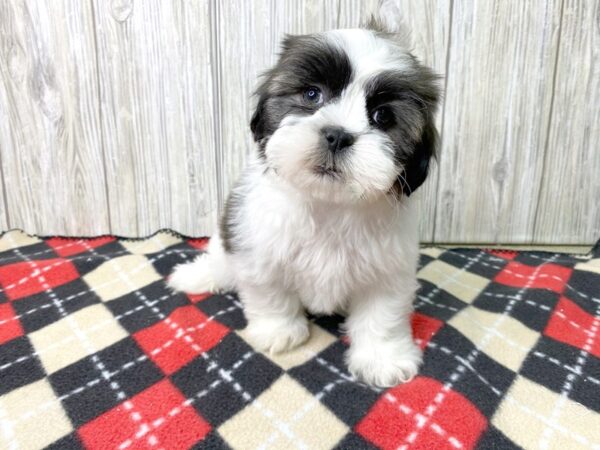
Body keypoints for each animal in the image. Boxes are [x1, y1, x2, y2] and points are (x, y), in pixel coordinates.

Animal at [169, 14, 440, 386]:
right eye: (312, 94)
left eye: (382, 116)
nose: (337, 135)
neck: (328, 205)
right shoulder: (258, 247)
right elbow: (270, 293)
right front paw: (278, 331)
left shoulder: (389, 267)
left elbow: (382, 313)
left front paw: (382, 358)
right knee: (221, 263)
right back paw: (199, 275)